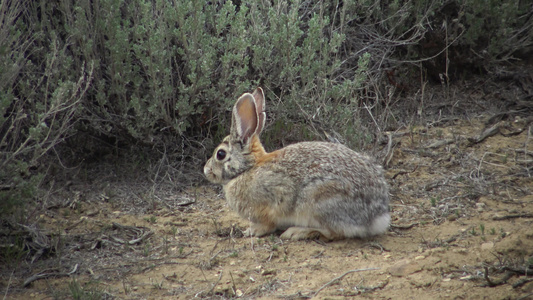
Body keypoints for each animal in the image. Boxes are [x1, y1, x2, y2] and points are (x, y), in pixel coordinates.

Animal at [202, 88, 388, 240]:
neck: (247, 168)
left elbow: (268, 223)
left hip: (320, 201)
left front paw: (252, 231)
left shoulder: (271, 202)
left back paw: (296, 232)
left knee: (333, 233)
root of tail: (377, 216)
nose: (206, 170)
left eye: (220, 154)